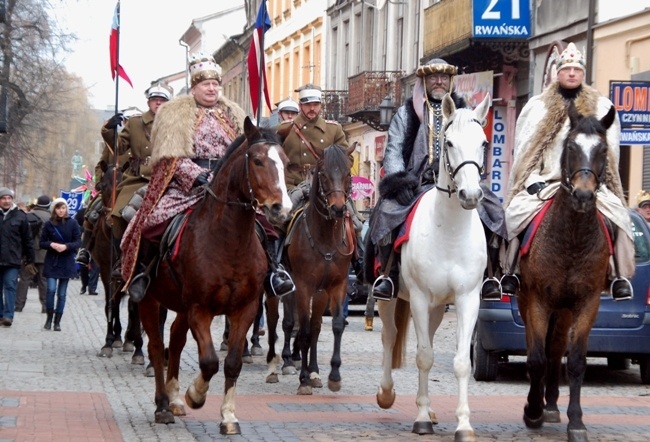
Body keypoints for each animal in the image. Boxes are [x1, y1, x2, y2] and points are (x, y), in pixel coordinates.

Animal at [89, 161, 142, 364]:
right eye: (102, 186)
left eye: (121, 184)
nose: (111, 220)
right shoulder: (106, 270)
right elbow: (110, 302)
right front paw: (108, 342)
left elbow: (134, 306)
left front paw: (137, 346)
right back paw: (121, 337)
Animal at [137, 118, 292, 436]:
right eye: (257, 160)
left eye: (285, 163)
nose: (281, 209)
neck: (228, 240)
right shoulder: (200, 308)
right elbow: (208, 361)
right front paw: (195, 395)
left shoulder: (244, 308)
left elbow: (231, 363)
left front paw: (229, 416)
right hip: (150, 299)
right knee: (157, 347)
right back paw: (163, 405)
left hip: (181, 307)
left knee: (176, 339)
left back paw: (173, 399)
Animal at [264, 144, 354, 394]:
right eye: (323, 174)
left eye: (348, 174)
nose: (338, 208)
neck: (325, 239)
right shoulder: (304, 287)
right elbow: (302, 330)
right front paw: (303, 378)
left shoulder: (333, 287)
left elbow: (327, 327)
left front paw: (328, 374)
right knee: (275, 320)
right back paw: (273, 366)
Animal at [374, 91, 486, 440]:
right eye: (448, 142)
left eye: (484, 142)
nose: (470, 194)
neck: (448, 230)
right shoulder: (420, 299)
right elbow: (423, 357)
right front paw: (421, 418)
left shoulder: (467, 299)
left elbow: (461, 361)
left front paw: (463, 424)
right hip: (391, 298)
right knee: (390, 336)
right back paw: (387, 394)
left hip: (439, 306)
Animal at [512, 102, 616, 438]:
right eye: (571, 147)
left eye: (603, 149)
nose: (583, 195)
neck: (571, 239)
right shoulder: (537, 300)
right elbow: (535, 358)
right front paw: (532, 412)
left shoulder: (586, 303)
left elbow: (576, 361)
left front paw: (576, 420)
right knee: (541, 349)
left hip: (565, 309)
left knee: (556, 348)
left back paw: (552, 405)